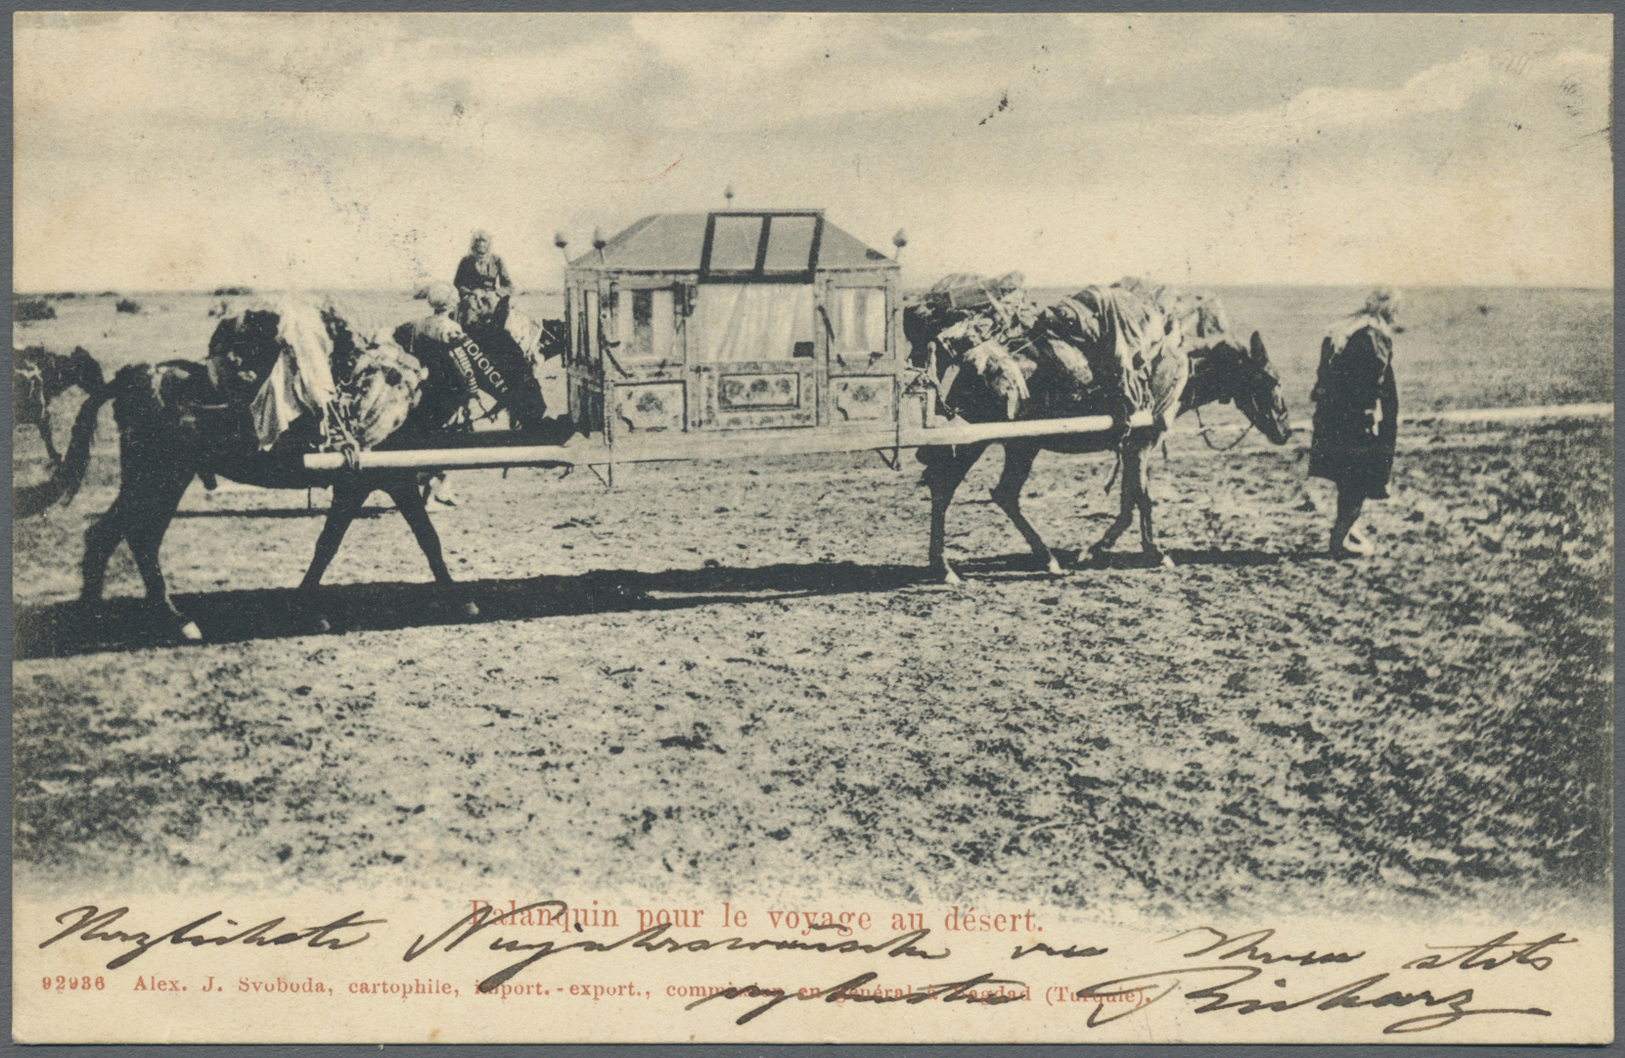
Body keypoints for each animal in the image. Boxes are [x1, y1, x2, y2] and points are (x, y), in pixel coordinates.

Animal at [20, 302, 559, 640]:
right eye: (511, 350)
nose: (540, 408)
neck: (403, 391)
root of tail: (131, 377)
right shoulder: (374, 482)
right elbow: (375, 541)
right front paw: (460, 601)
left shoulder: (381, 482)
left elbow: (381, 541)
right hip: (160, 476)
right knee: (132, 537)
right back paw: (172, 622)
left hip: (156, 478)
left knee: (117, 536)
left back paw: (108, 615)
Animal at [923, 305, 1287, 588]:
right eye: (1269, 379)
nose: (1285, 429)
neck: (1176, 373)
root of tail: (971, 364)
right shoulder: (1141, 445)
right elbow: (1141, 500)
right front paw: (1148, 553)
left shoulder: (1133, 448)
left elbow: (1132, 501)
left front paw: (1107, 549)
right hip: (985, 441)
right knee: (948, 487)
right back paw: (945, 568)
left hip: (1021, 446)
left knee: (1002, 494)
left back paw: (1043, 559)